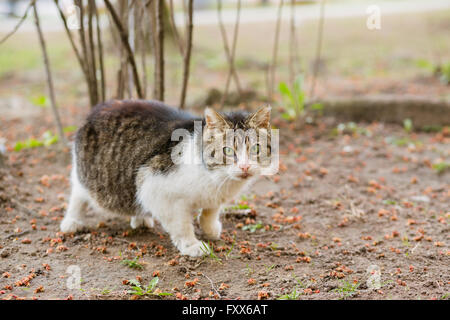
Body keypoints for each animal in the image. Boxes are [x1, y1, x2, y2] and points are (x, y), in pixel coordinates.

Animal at [59, 100, 270, 258]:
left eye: (255, 148)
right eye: (227, 151)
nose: (244, 166)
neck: (219, 179)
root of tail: (100, 106)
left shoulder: (214, 196)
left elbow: (210, 211)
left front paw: (210, 228)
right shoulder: (155, 186)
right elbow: (181, 225)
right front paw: (191, 245)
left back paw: (141, 218)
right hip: (88, 174)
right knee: (78, 193)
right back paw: (72, 221)